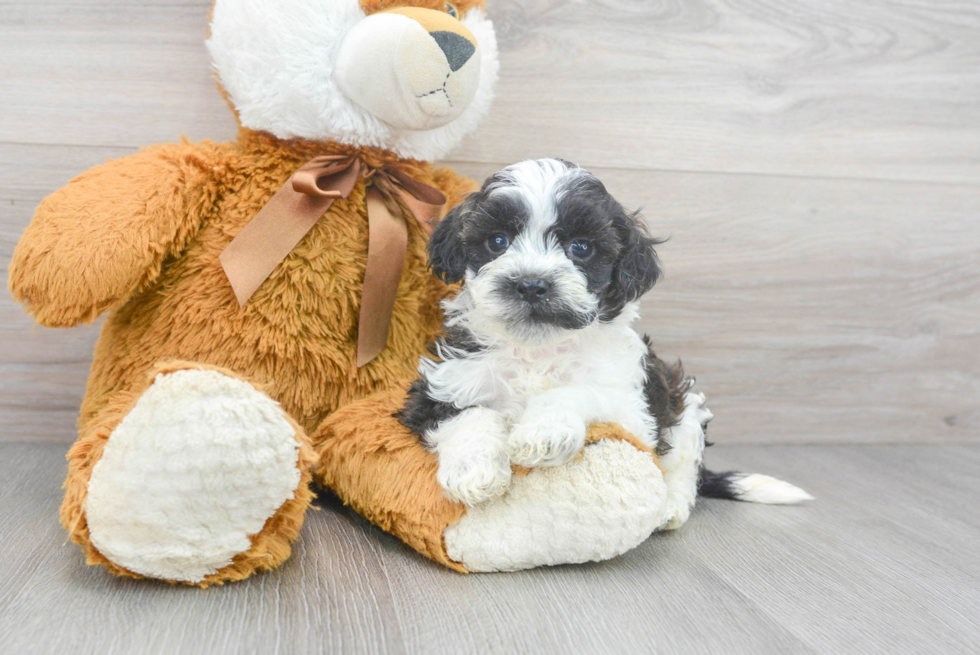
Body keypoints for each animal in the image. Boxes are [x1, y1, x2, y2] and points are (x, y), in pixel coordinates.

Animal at [394, 159, 808, 524]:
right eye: (498, 241)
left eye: (581, 248)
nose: (531, 284)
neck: (538, 349)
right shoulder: (443, 383)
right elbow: (469, 414)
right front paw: (473, 471)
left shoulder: (634, 413)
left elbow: (576, 391)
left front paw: (544, 431)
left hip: (684, 407)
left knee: (684, 468)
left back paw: (671, 507)